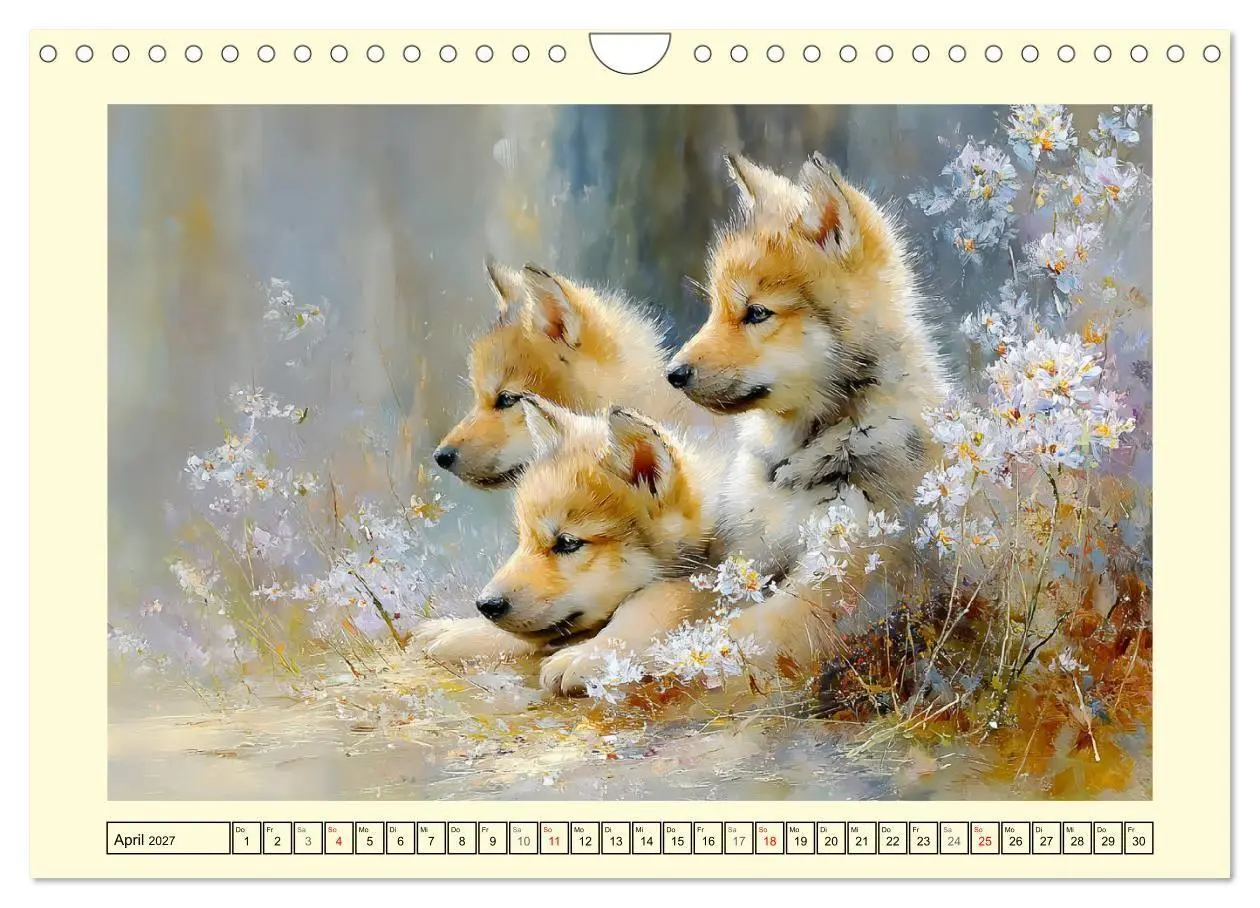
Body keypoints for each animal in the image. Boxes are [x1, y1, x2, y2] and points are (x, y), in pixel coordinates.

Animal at [414, 397, 718, 695]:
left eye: (568, 543)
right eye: (523, 538)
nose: (485, 605)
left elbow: (659, 603)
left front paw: (589, 656)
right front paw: (458, 630)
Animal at [664, 152, 949, 670]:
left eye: (757, 313)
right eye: (716, 309)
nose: (673, 373)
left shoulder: (841, 573)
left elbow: (735, 636)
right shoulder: (744, 558)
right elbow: (666, 604)